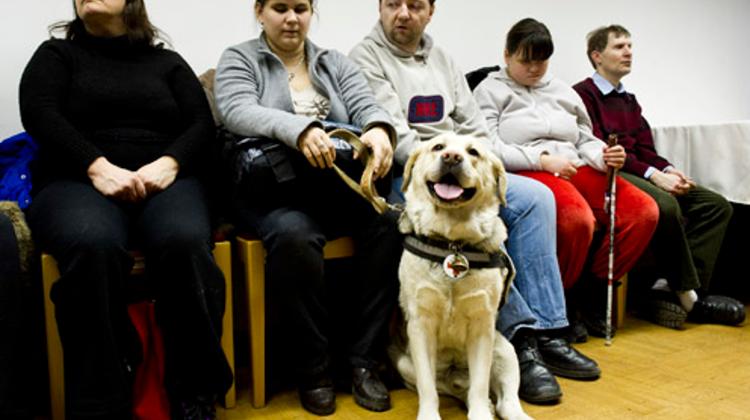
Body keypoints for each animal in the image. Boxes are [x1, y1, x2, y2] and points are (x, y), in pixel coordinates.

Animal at [390, 134, 532, 420]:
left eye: (473, 152)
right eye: (438, 147)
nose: (452, 158)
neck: (452, 244)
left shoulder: (482, 325)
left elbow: (479, 384)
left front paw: (480, 414)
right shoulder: (420, 324)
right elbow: (428, 387)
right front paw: (429, 416)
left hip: (504, 350)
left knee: (504, 400)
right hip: (403, 363)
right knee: (447, 387)